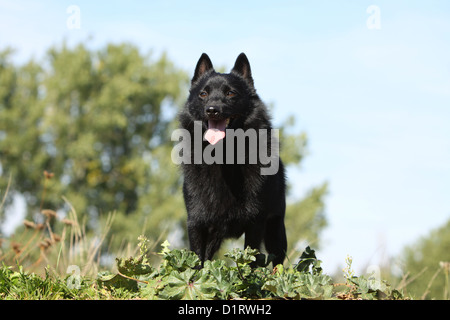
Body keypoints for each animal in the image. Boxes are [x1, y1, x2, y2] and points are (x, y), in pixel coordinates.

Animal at [178, 52, 286, 266]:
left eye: (230, 93)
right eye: (203, 94)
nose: (212, 109)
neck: (224, 158)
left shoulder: (255, 223)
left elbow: (250, 262)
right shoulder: (197, 224)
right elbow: (197, 264)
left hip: (275, 231)